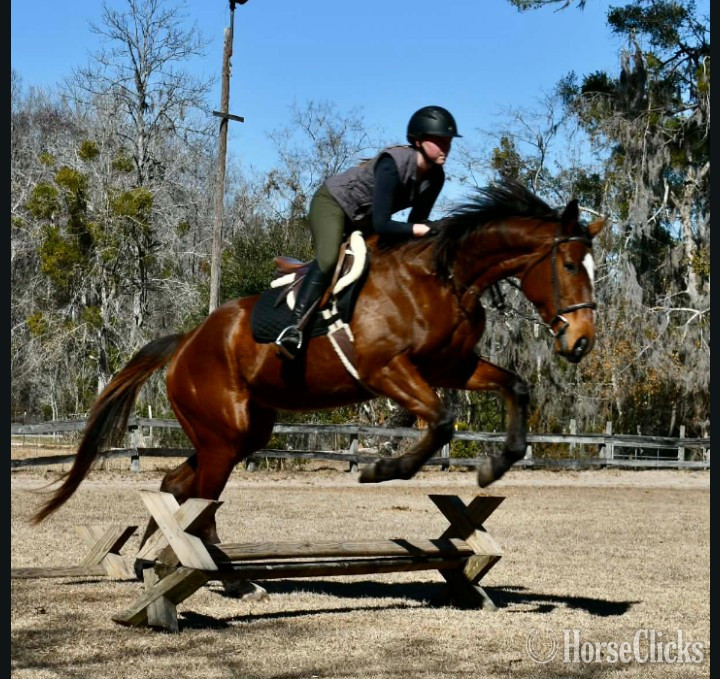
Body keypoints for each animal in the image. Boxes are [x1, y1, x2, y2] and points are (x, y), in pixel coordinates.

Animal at [33, 179, 605, 554]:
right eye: (569, 265)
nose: (581, 342)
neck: (446, 278)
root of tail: (187, 342)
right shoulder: (388, 370)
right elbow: (442, 422)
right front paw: (382, 470)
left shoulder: (451, 367)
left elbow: (516, 386)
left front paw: (495, 465)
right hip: (223, 433)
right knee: (203, 495)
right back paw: (218, 575)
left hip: (243, 433)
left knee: (179, 484)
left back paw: (159, 558)